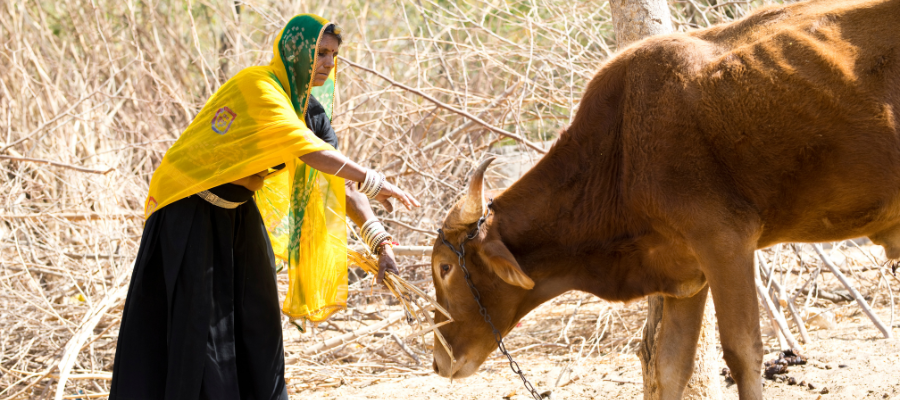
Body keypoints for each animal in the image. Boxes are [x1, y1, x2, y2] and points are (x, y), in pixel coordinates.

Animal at [428, 0, 900, 399]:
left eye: (445, 268)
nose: (438, 361)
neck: (620, 152)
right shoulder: (685, 274)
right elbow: (670, 366)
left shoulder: (725, 244)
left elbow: (743, 353)